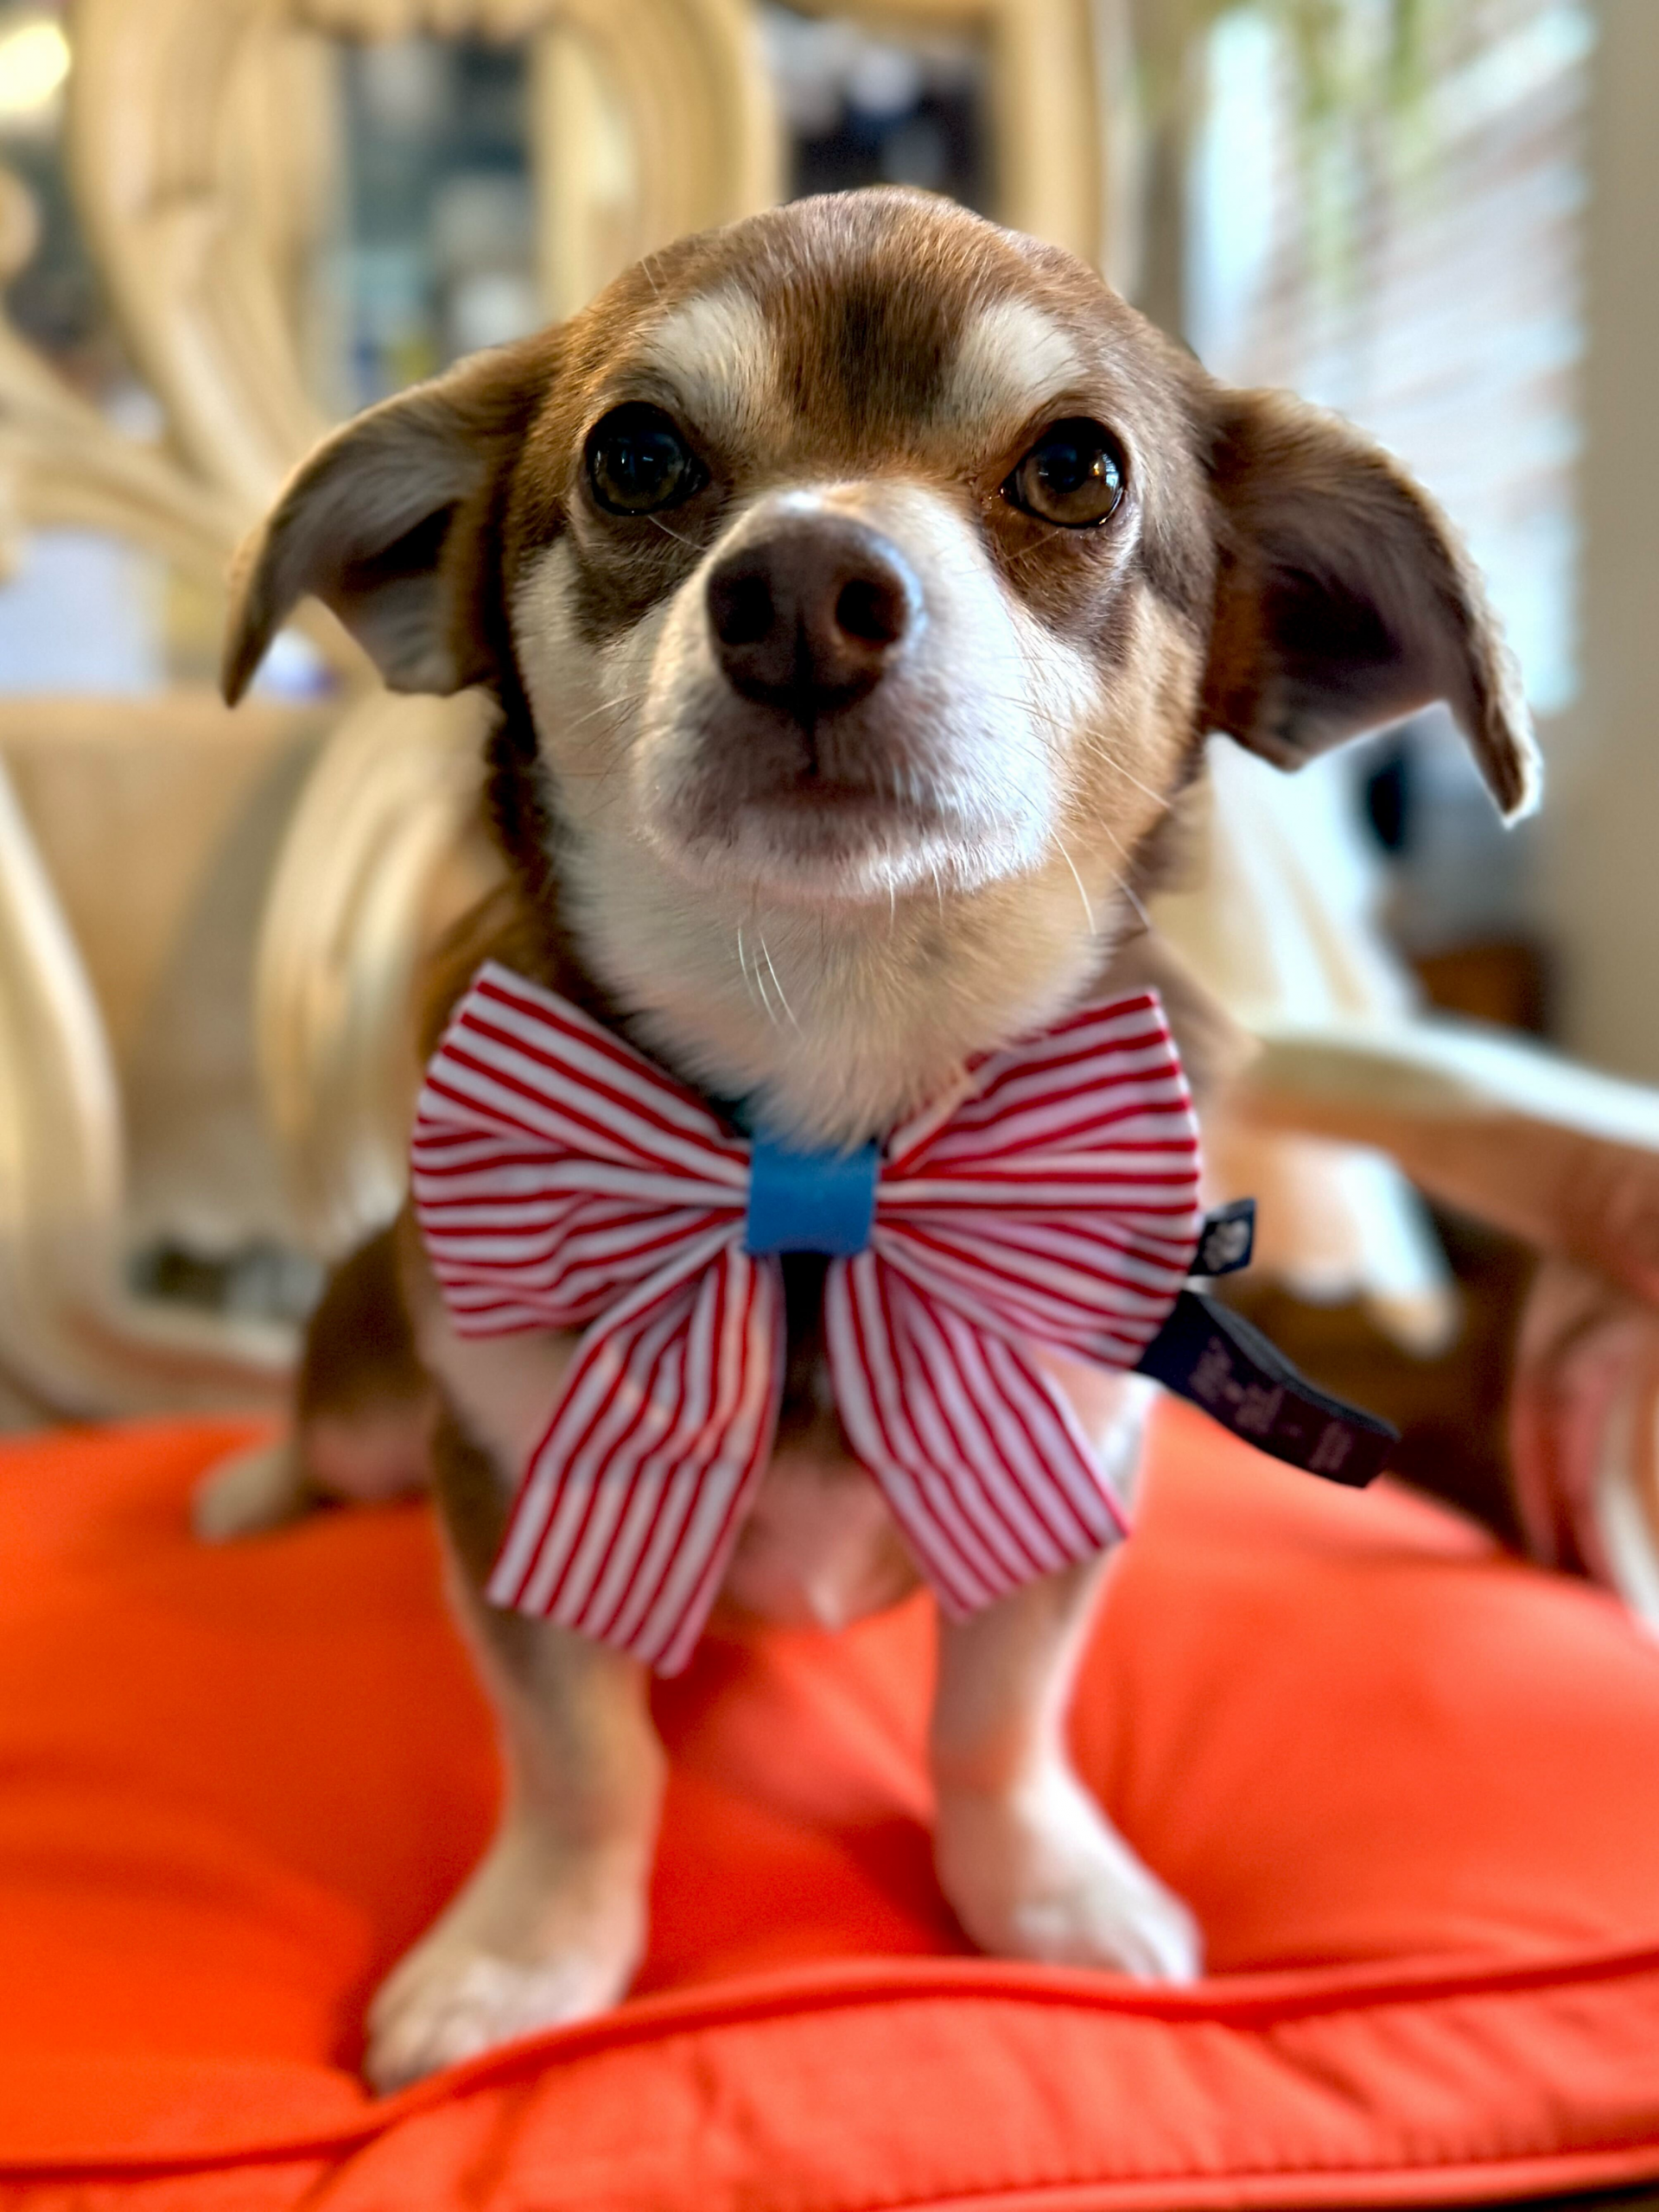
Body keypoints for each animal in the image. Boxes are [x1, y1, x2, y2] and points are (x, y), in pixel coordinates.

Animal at [209, 187, 1535, 2090]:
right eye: (635, 454)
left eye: (1077, 468)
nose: (803, 594)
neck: (830, 1121)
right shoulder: (514, 1483)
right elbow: (582, 1761)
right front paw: (527, 1953)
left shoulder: (1064, 1464)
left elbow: (999, 1720)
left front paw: (1045, 1889)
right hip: (389, 1401)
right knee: (330, 1430)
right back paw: (249, 1485)